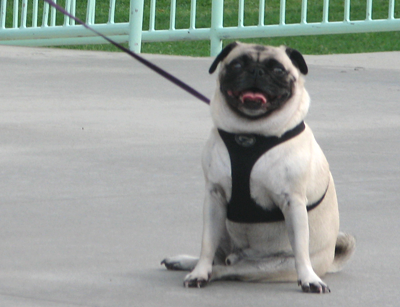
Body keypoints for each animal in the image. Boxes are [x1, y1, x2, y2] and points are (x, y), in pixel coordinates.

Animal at [161, 42, 354, 294]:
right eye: (237, 65)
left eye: (278, 70)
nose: (256, 71)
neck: (250, 133)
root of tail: (330, 260)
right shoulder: (214, 197)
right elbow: (206, 245)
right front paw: (199, 272)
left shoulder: (293, 202)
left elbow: (301, 250)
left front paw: (309, 279)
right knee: (216, 257)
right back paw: (186, 262)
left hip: (270, 266)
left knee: (228, 269)